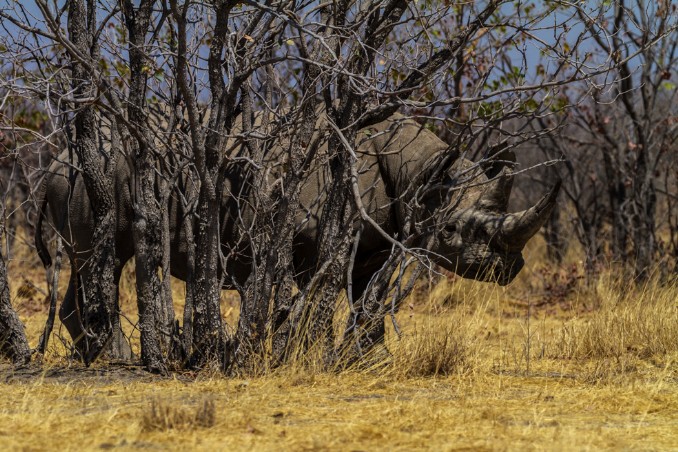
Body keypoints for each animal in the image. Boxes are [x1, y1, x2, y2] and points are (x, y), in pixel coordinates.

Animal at [34, 114, 560, 360]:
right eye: (451, 230)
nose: (507, 269)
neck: (421, 172)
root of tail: (56, 159)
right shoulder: (312, 243)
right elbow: (318, 300)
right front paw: (310, 353)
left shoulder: (377, 242)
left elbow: (367, 302)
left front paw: (369, 360)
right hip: (95, 176)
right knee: (101, 259)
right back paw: (115, 357)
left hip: (85, 177)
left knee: (89, 265)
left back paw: (92, 356)